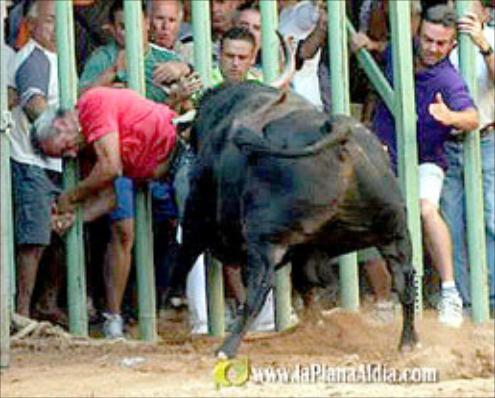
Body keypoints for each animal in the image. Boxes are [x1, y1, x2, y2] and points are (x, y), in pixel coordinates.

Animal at [170, 81, 418, 358]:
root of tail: (340, 131)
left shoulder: (196, 211)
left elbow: (185, 253)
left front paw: (175, 296)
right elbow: (307, 282)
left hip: (264, 238)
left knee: (258, 289)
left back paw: (227, 348)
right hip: (393, 232)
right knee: (404, 281)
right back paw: (407, 341)